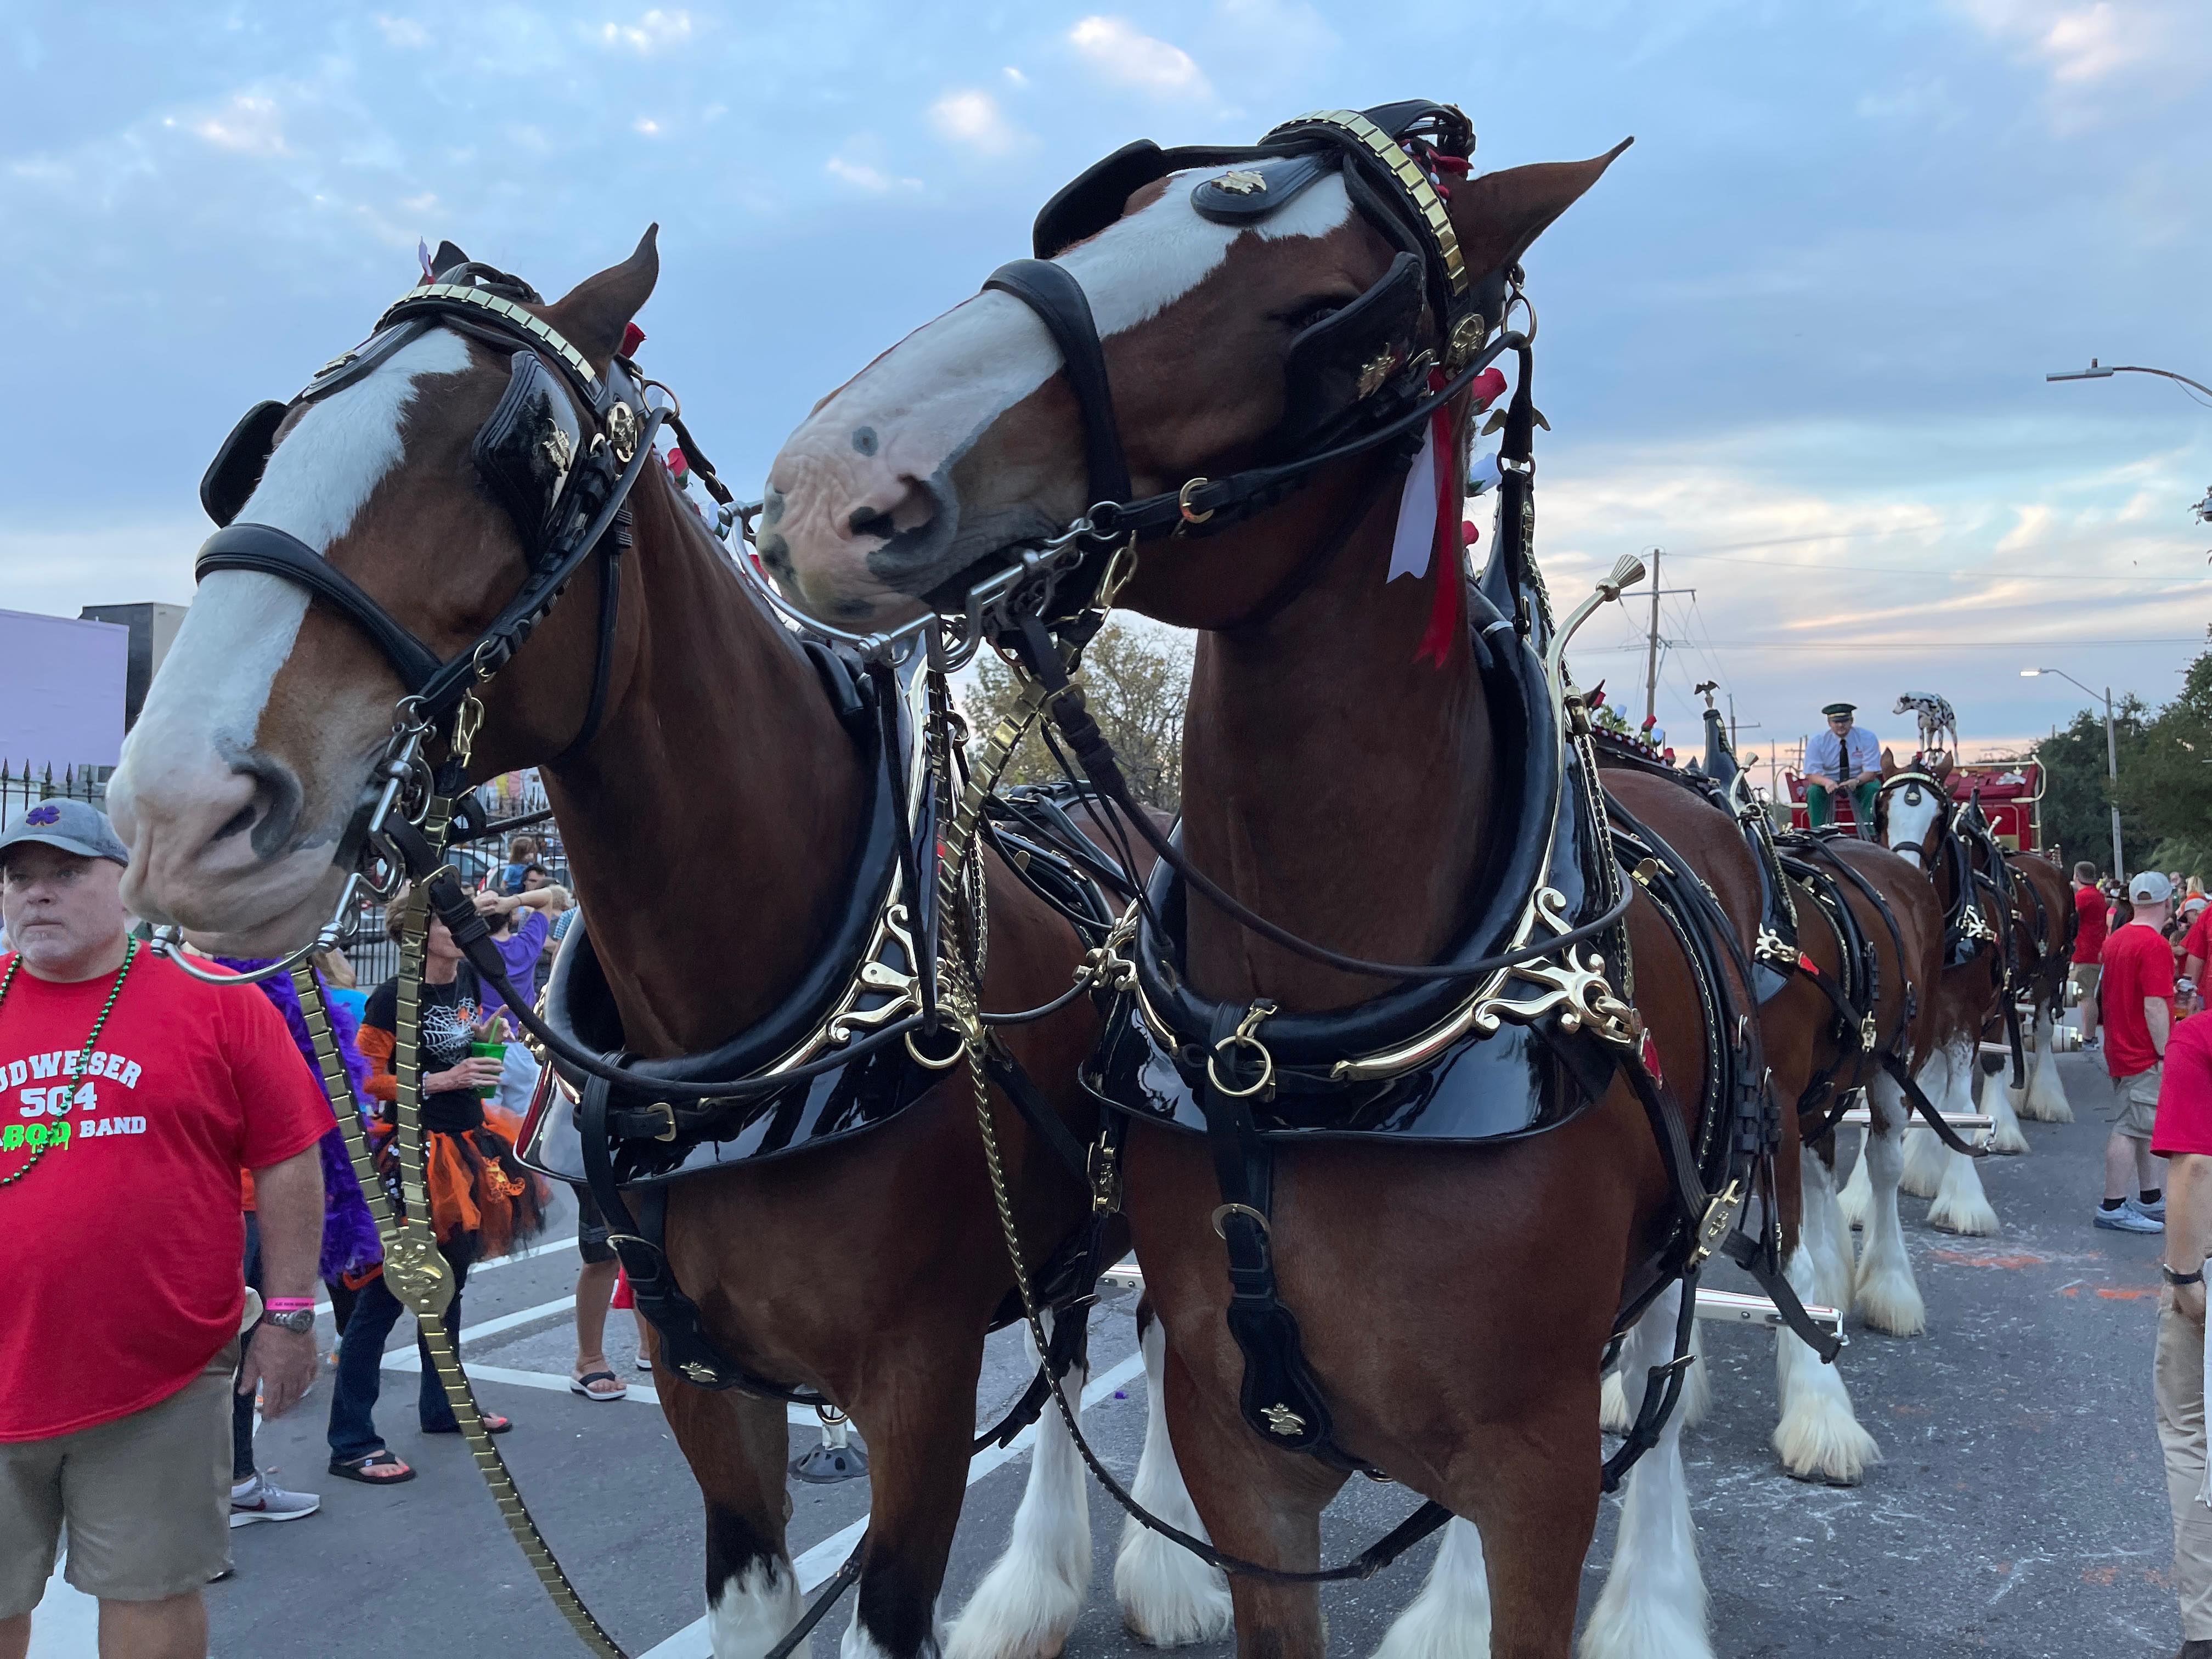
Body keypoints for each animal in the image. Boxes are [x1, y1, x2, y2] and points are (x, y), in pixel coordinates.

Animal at [105, 234, 1177, 1659]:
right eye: (265, 446)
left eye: (507, 455)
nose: (176, 809)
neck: (754, 1033)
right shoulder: (701, 1371)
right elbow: (753, 1593)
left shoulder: (924, 1380)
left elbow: (890, 1606)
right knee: (1067, 1337)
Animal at [761, 136, 1796, 1659]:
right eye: (1107, 218)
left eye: (1321, 309)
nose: (837, 481)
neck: (1306, 1052)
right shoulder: (1243, 1462)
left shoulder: (1538, 1470)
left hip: (1694, 1225)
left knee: (1659, 1404)